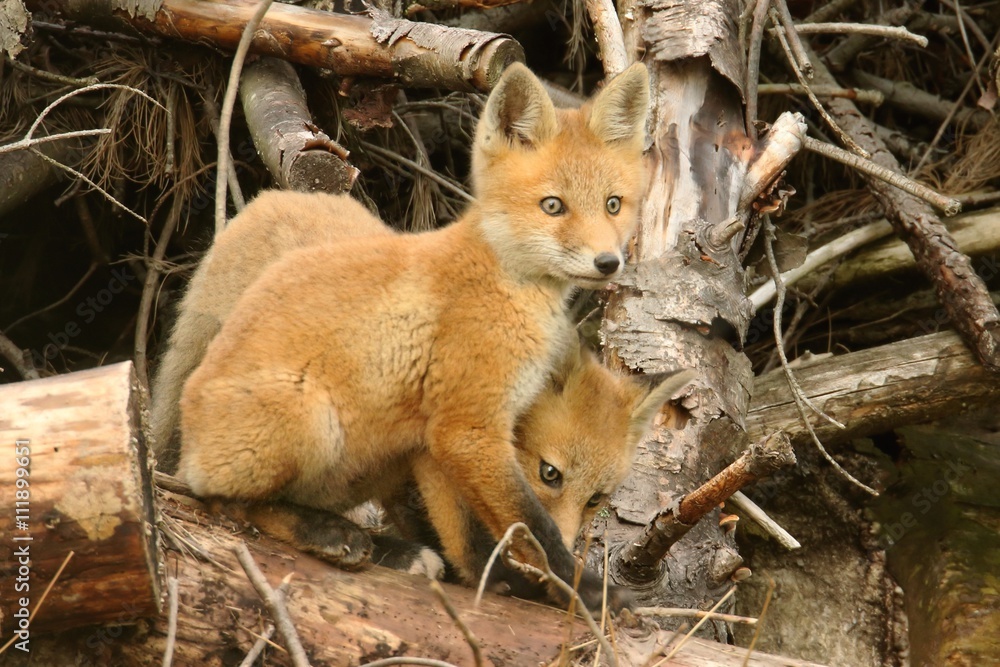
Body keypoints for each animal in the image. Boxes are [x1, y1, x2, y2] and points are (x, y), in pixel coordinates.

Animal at [177, 61, 656, 611]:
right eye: (553, 206)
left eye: (613, 204)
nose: (609, 263)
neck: (501, 282)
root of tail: (186, 440)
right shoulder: (468, 426)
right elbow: (535, 527)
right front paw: (587, 591)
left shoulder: (438, 439)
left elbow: (467, 537)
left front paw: (501, 584)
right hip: (310, 416)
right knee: (227, 502)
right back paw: (329, 534)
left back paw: (390, 549)